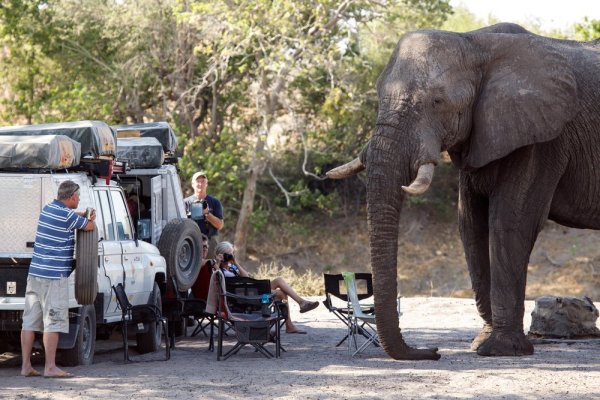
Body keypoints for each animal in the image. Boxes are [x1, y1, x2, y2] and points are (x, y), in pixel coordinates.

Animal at [328, 23, 600, 360]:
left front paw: (500, 350)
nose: (433, 351)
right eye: (378, 95)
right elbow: (471, 226)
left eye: (437, 102)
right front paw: (481, 342)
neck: (475, 42)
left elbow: (510, 223)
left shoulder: (544, 139)